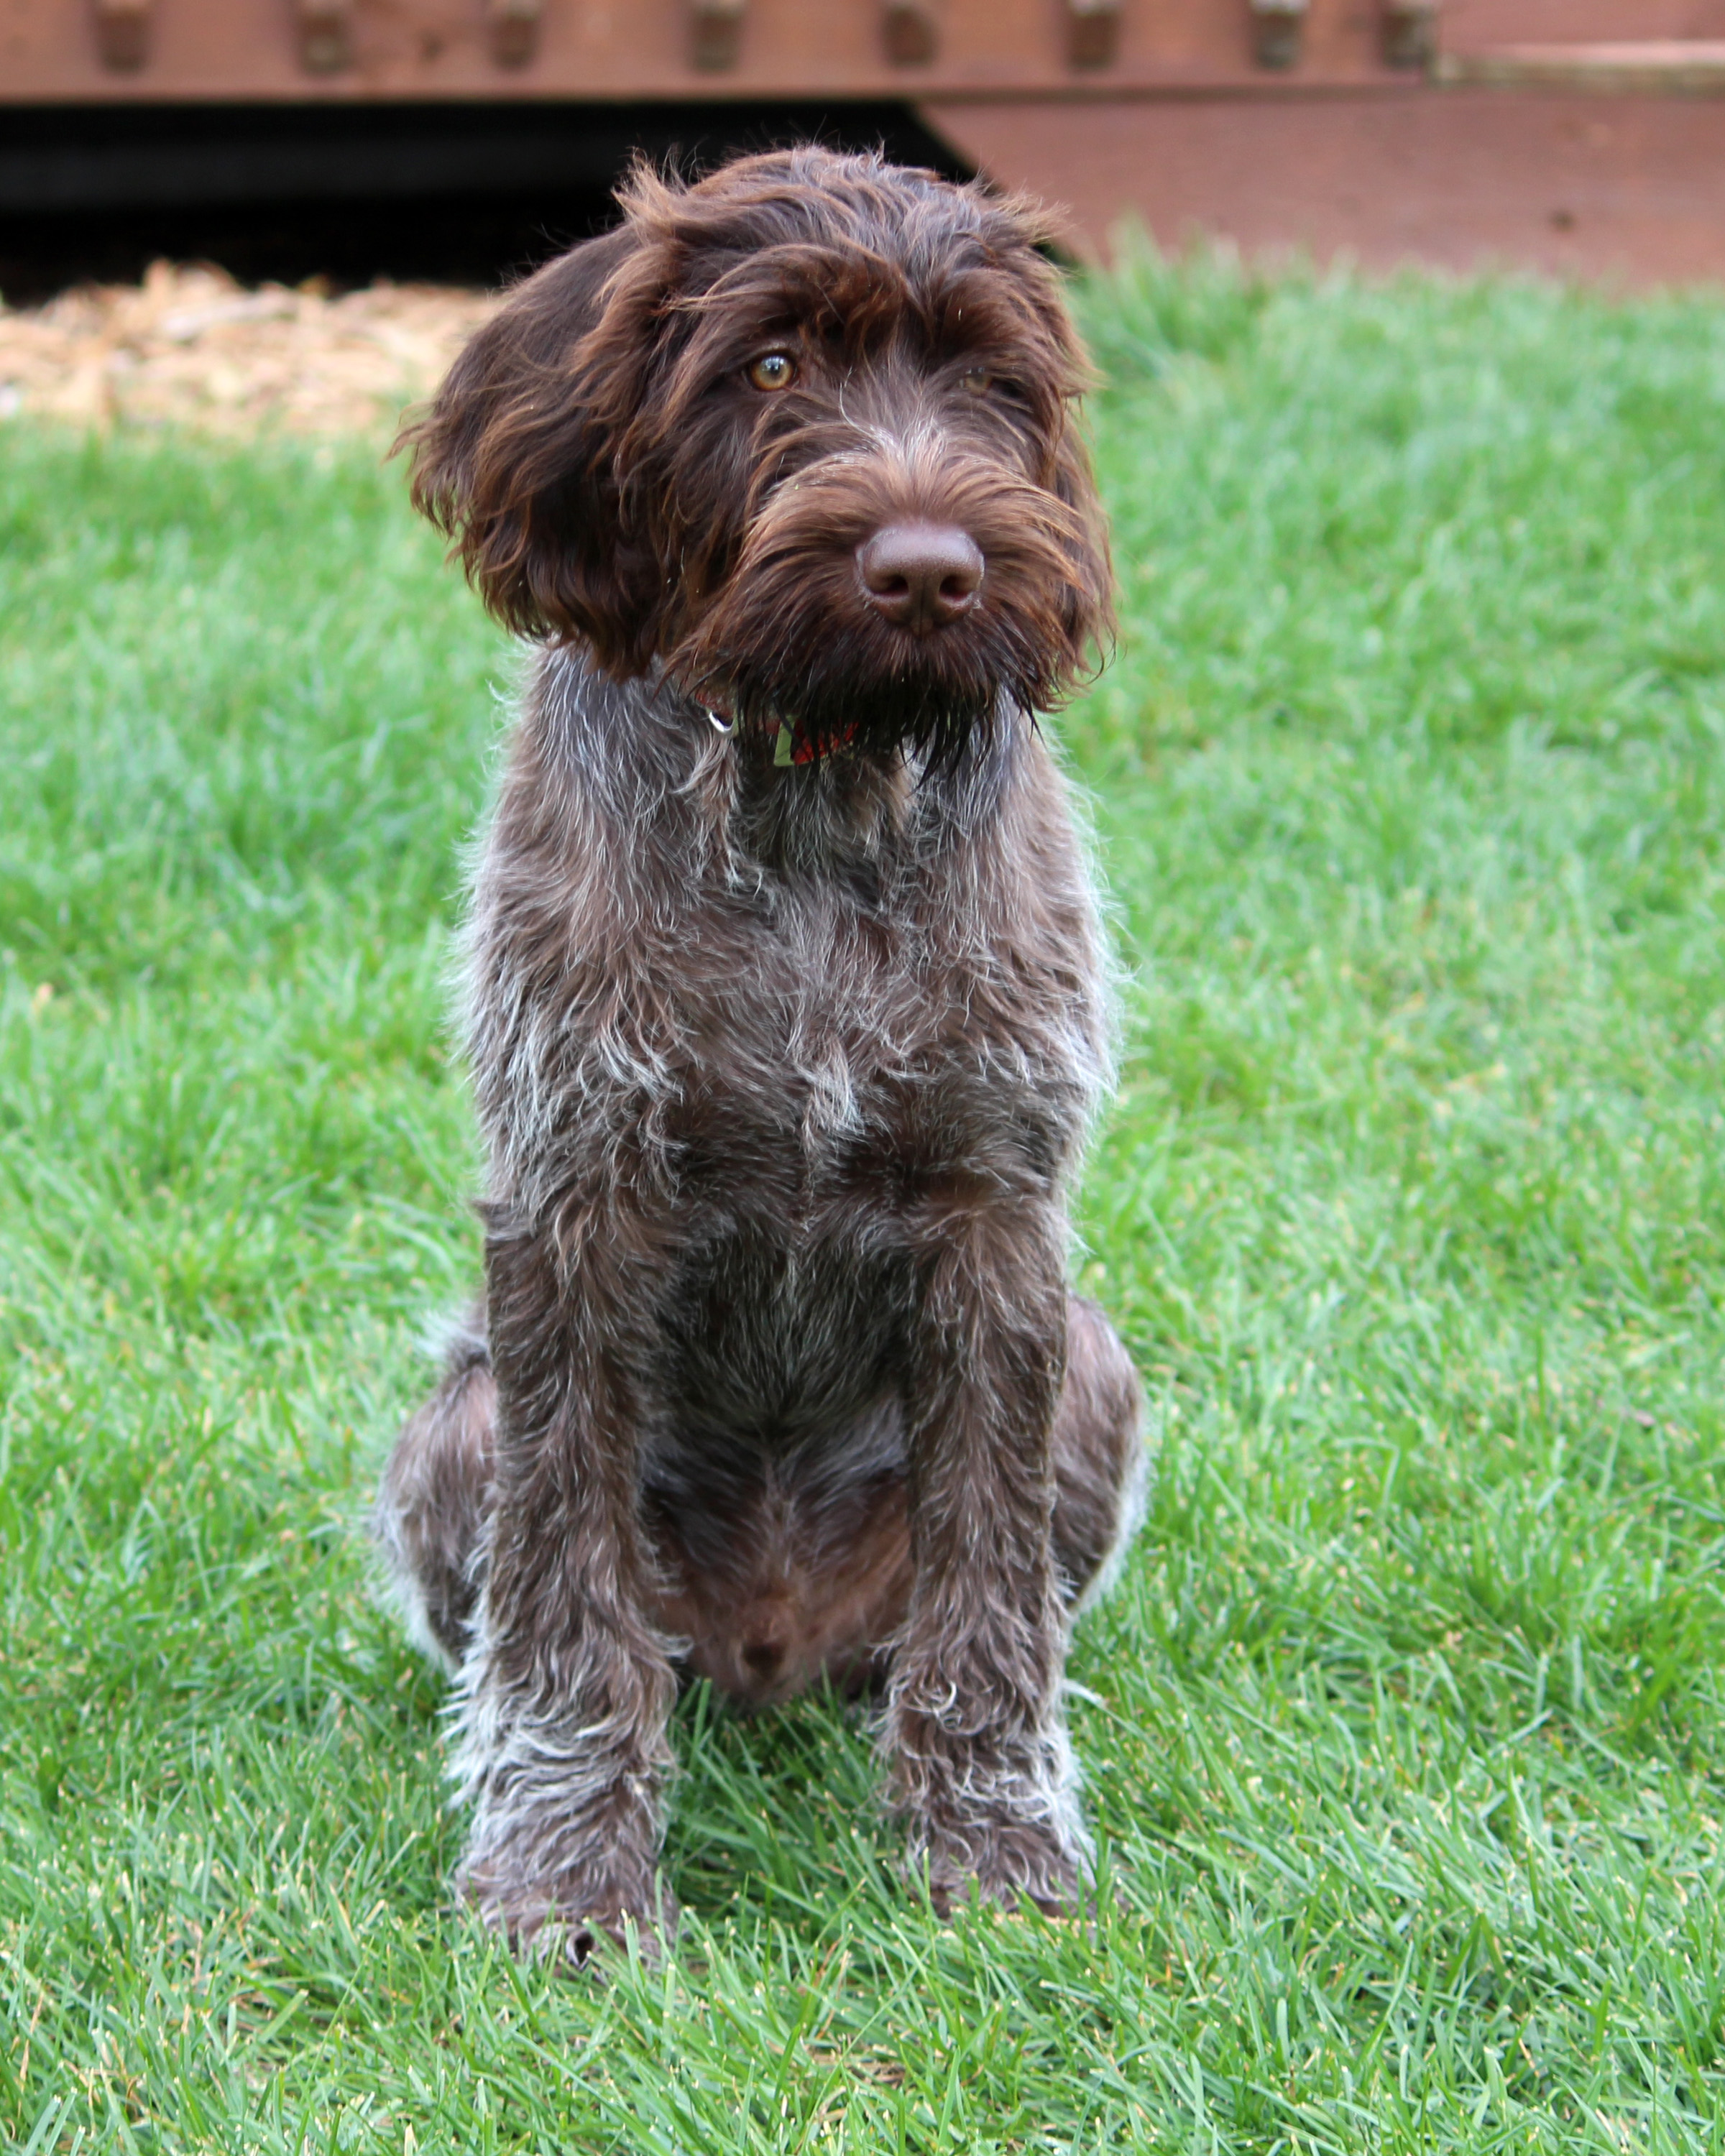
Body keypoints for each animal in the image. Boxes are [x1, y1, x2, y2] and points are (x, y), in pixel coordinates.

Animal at [384, 143, 1156, 1966]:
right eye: (772, 365)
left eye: (989, 384)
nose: (929, 567)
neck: (814, 785)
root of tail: (769, 1648)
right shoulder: (575, 1204)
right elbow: (562, 1608)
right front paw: (563, 1868)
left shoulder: (995, 1220)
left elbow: (986, 1601)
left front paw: (989, 1836)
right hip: (451, 1431)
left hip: (1097, 1373)